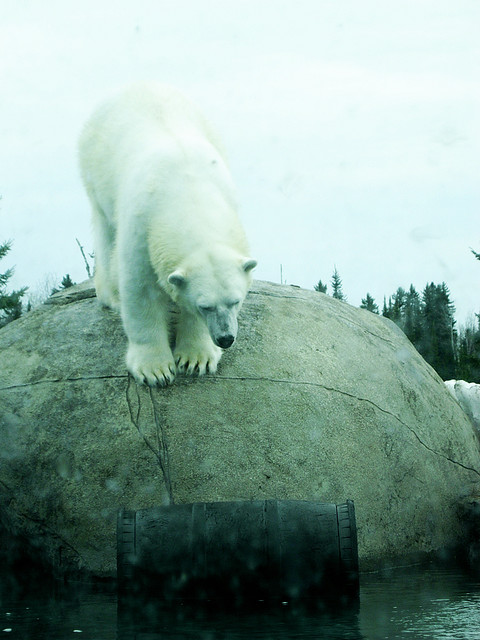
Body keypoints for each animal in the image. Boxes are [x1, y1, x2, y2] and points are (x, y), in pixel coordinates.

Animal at [78, 84, 255, 384]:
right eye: (205, 306)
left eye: (236, 300)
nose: (226, 338)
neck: (187, 190)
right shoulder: (142, 226)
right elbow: (141, 292)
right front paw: (155, 369)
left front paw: (196, 358)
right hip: (95, 169)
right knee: (105, 233)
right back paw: (110, 295)